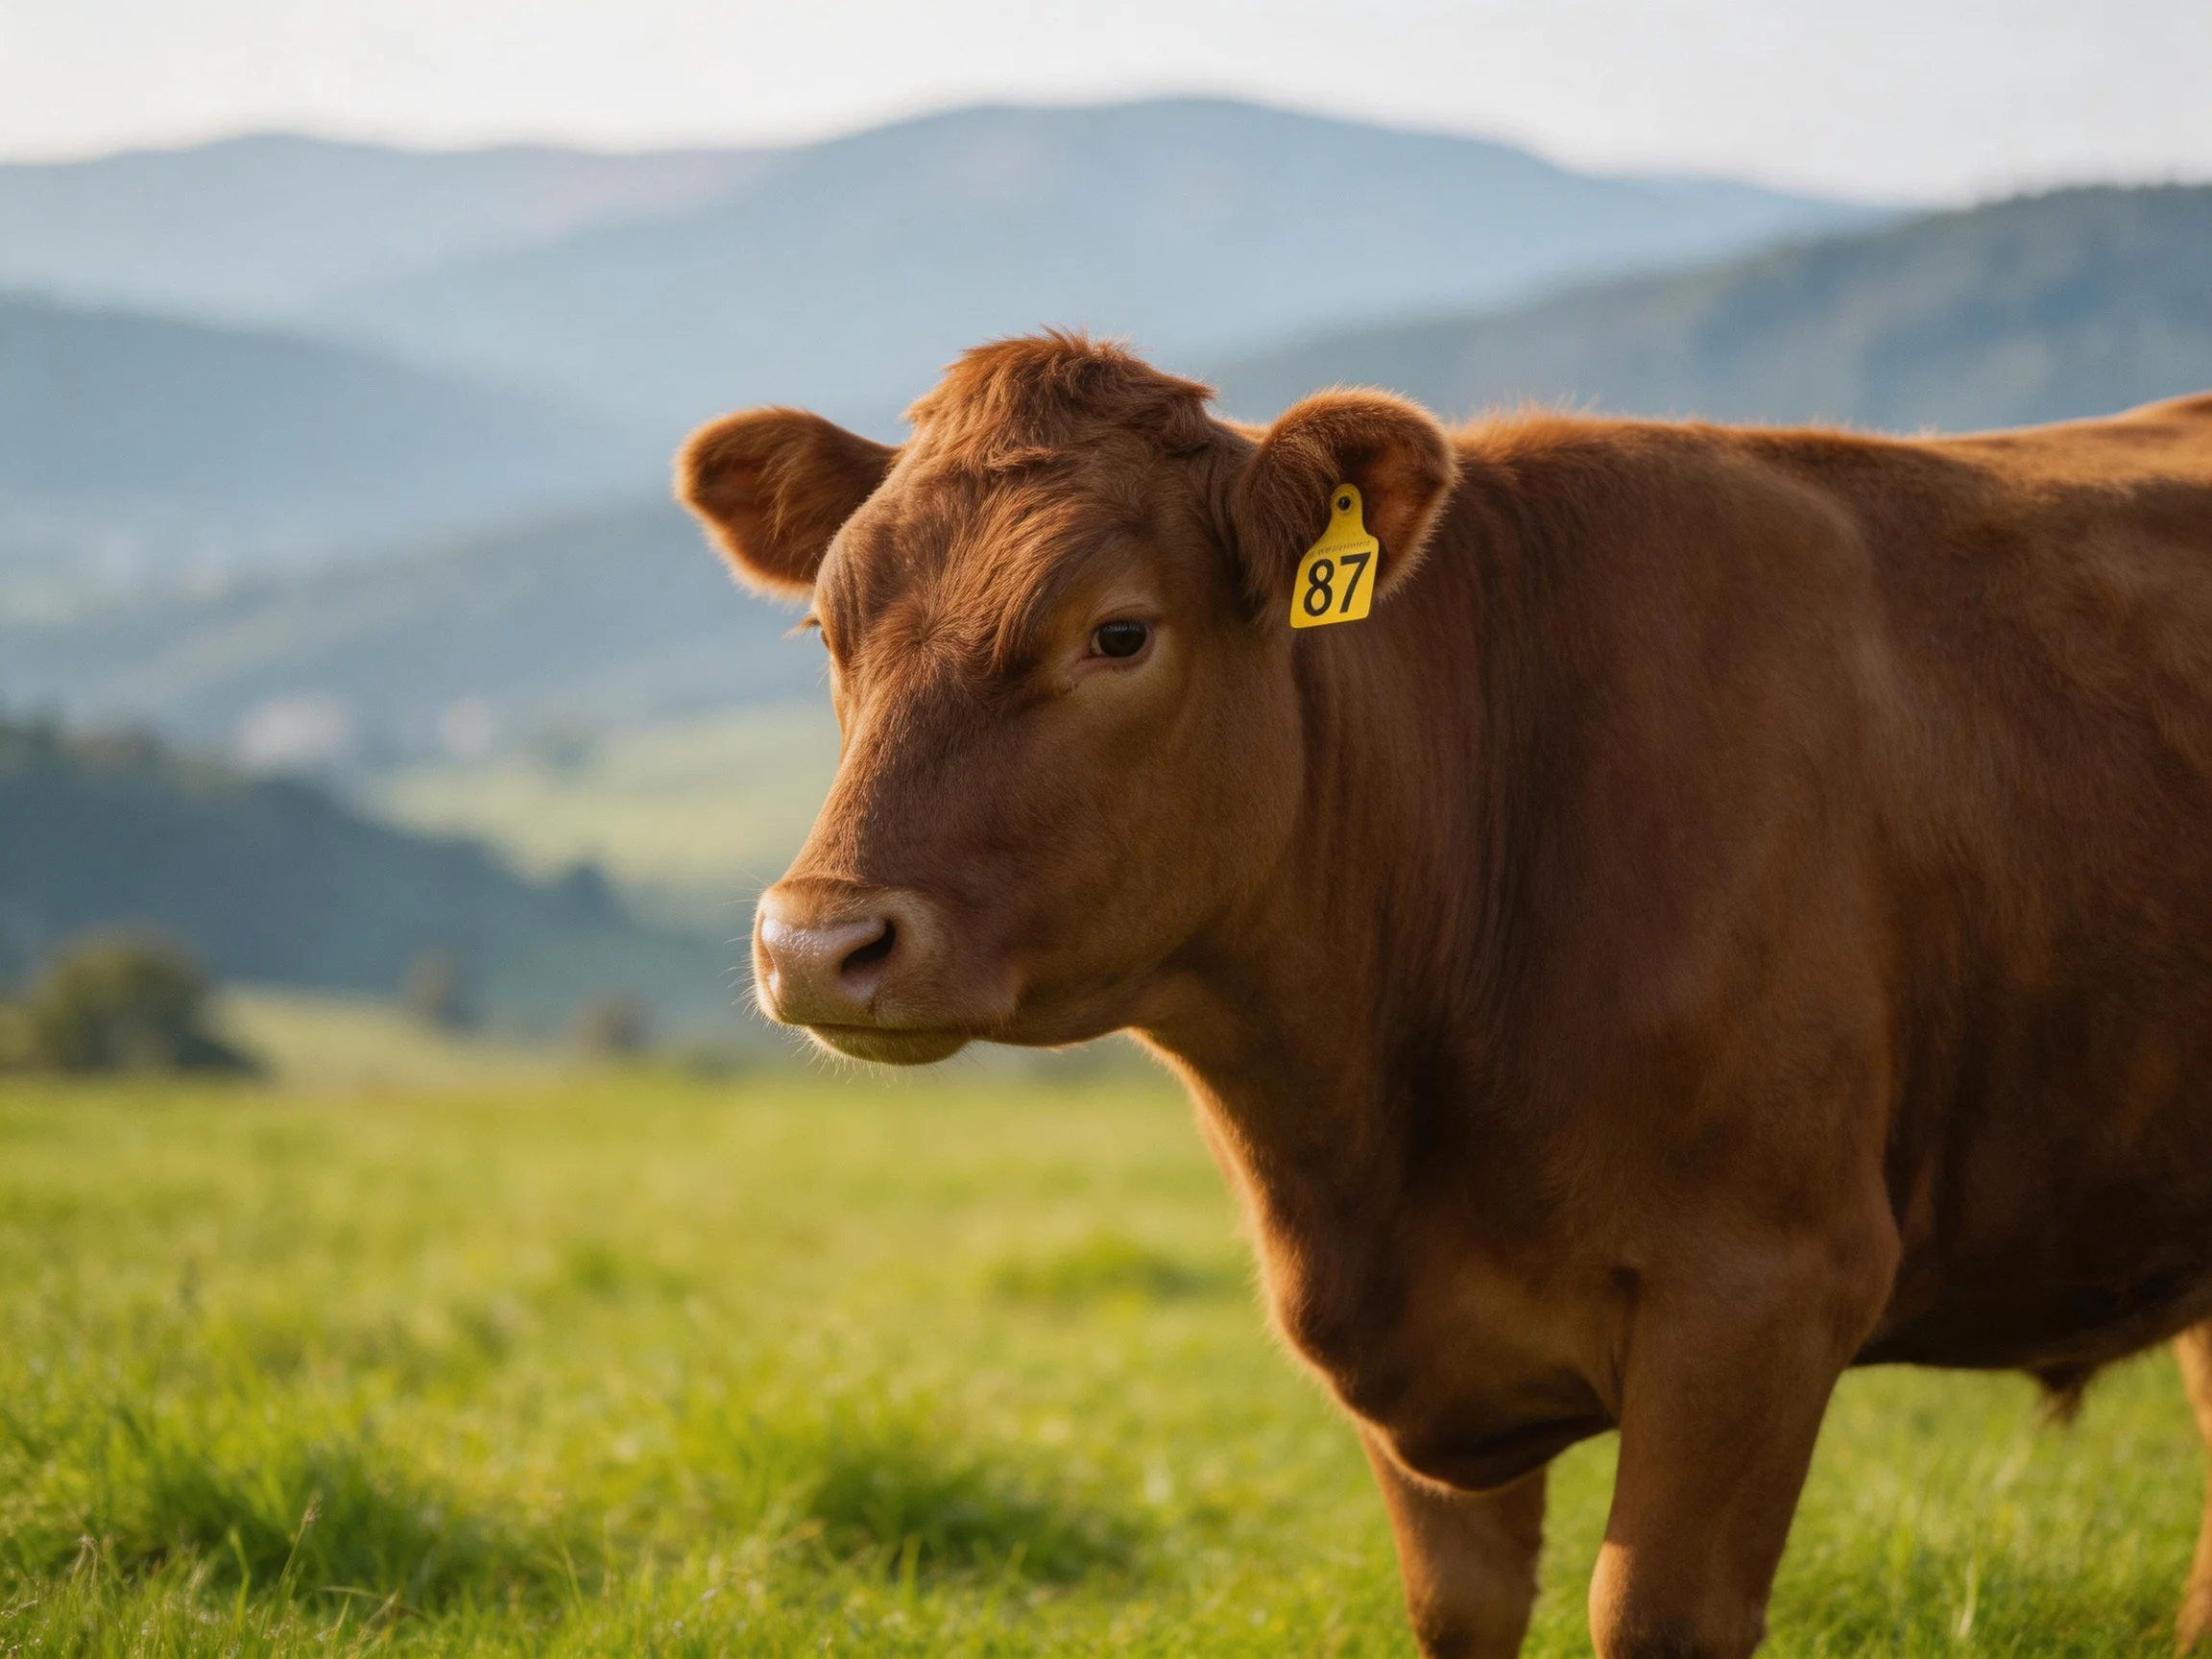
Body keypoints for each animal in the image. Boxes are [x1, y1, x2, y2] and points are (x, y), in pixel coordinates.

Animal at [676, 331, 2212, 1658]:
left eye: (1116, 633)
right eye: (827, 628)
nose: (816, 941)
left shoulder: (1769, 1286)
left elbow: (1648, 1612)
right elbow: (1459, 1612)